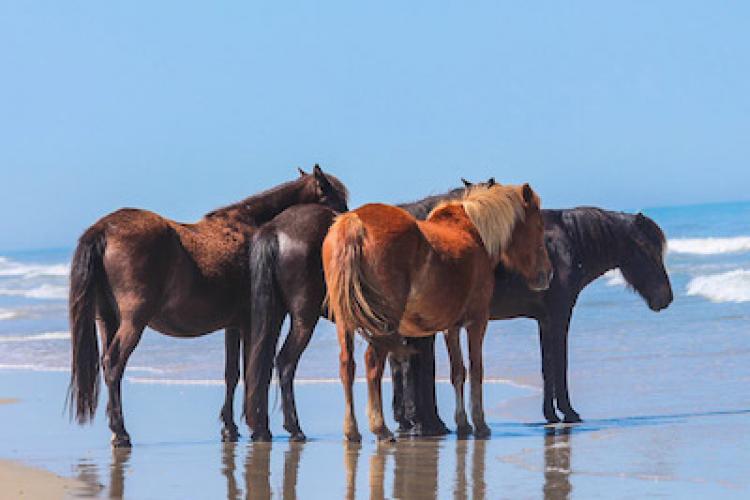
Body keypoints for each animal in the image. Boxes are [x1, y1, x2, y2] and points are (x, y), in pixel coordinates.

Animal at [67, 165, 348, 447]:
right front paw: (257, 427)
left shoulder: (234, 325)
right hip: (133, 322)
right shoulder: (253, 322)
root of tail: (104, 229)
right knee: (114, 364)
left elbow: (232, 374)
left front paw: (230, 428)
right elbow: (254, 370)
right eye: (335, 201)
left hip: (107, 320)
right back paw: (121, 432)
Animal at [323, 183, 553, 441]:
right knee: (372, 364)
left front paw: (463, 423)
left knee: (347, 365)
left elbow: (458, 371)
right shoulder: (477, 321)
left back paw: (352, 430)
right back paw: (380, 428)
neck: (474, 233)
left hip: (346, 321)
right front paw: (480, 423)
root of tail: (354, 222)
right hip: (382, 323)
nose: (547, 274)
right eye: (538, 226)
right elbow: (476, 369)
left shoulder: (450, 327)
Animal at [390, 206, 673, 434]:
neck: (566, 247)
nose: (666, 297)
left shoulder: (544, 321)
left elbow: (547, 366)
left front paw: (551, 414)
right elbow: (559, 364)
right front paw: (569, 412)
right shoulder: (559, 317)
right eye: (646, 249)